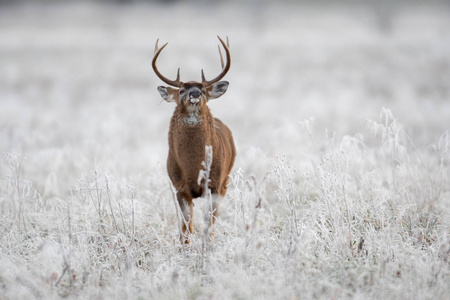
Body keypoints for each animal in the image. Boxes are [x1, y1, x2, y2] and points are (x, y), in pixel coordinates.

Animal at [152, 35, 236, 244]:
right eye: (182, 90)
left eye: (204, 90)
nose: (195, 93)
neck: (193, 167)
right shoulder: (179, 187)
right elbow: (185, 229)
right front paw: (185, 248)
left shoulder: (214, 185)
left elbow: (208, 226)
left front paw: (207, 247)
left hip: (226, 180)